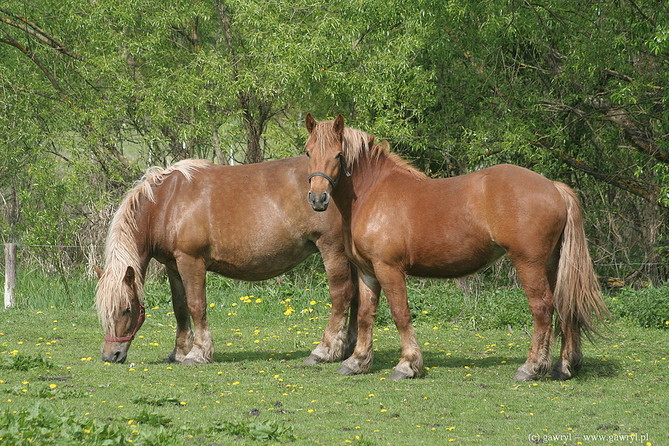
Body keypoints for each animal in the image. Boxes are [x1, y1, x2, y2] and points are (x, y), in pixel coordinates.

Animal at [94, 157, 358, 366]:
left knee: (341, 295)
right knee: (357, 298)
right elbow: (180, 307)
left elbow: (196, 305)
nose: (111, 355)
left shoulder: (191, 262)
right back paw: (350, 348)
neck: (166, 203)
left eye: (127, 309)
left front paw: (198, 353)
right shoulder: (174, 265)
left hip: (332, 250)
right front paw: (179, 352)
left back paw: (324, 351)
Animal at [306, 114, 608, 380]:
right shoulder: (367, 270)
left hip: (529, 263)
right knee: (564, 306)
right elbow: (366, 315)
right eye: (308, 153)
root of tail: (554, 188)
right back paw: (563, 367)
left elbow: (400, 313)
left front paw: (408, 365)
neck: (372, 192)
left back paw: (531, 367)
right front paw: (357, 362)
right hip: (553, 264)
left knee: (543, 308)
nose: (318, 199)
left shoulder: (388, 268)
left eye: (338, 155)